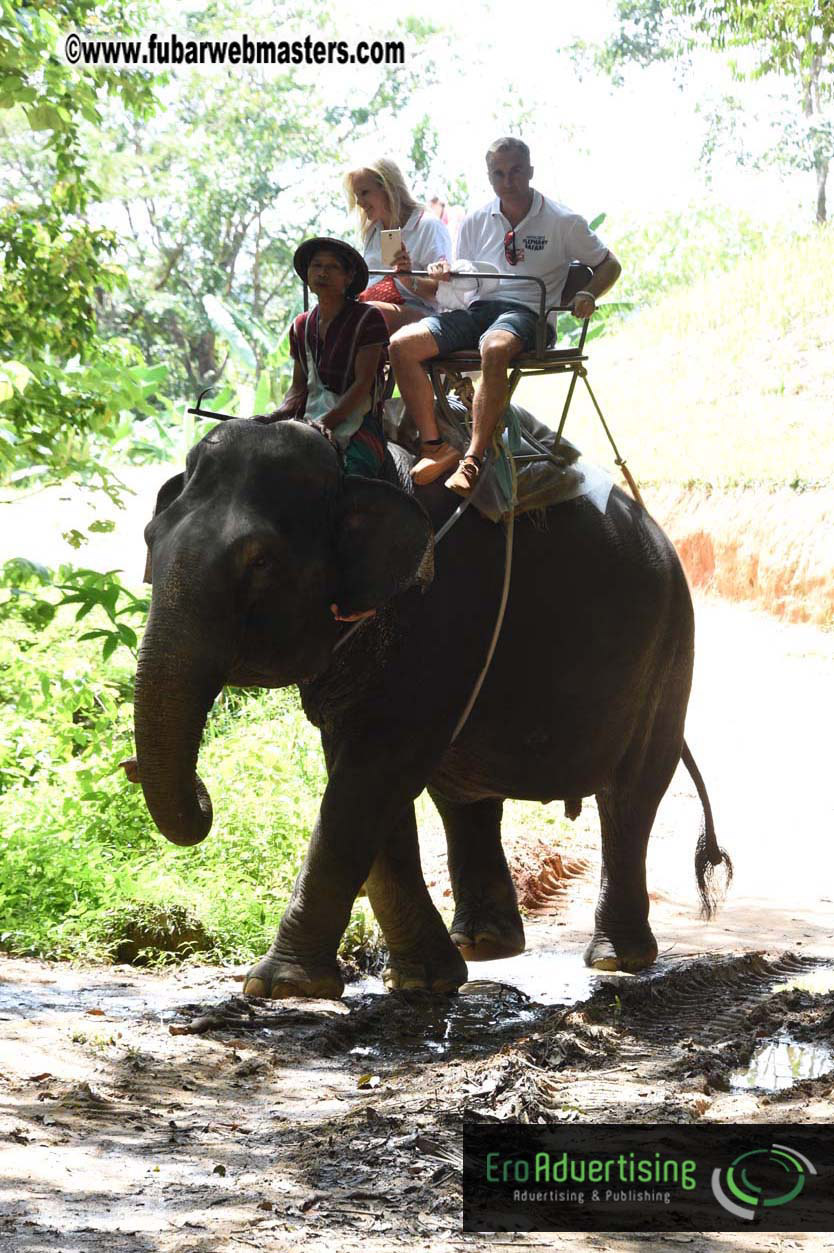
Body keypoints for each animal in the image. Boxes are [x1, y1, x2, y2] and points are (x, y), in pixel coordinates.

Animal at [133, 416, 731, 999]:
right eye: (148, 540)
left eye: (259, 561)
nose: (203, 794)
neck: (355, 468)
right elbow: (363, 776)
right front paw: (421, 980)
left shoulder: (441, 614)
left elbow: (373, 770)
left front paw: (280, 986)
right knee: (466, 798)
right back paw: (485, 945)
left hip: (669, 654)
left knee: (630, 795)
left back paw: (615, 958)